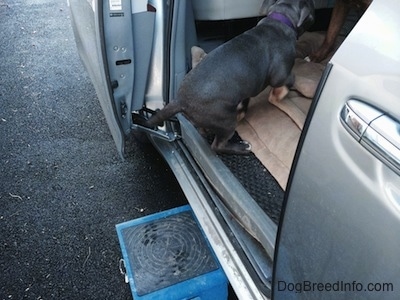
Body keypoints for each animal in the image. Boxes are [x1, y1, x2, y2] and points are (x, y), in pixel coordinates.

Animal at [145, 0, 314, 155]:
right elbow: (287, 82)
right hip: (226, 121)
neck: (280, 18)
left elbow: (245, 104)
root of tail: (180, 101)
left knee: (204, 130)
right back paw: (242, 147)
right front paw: (279, 95)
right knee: (217, 146)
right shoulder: (280, 75)